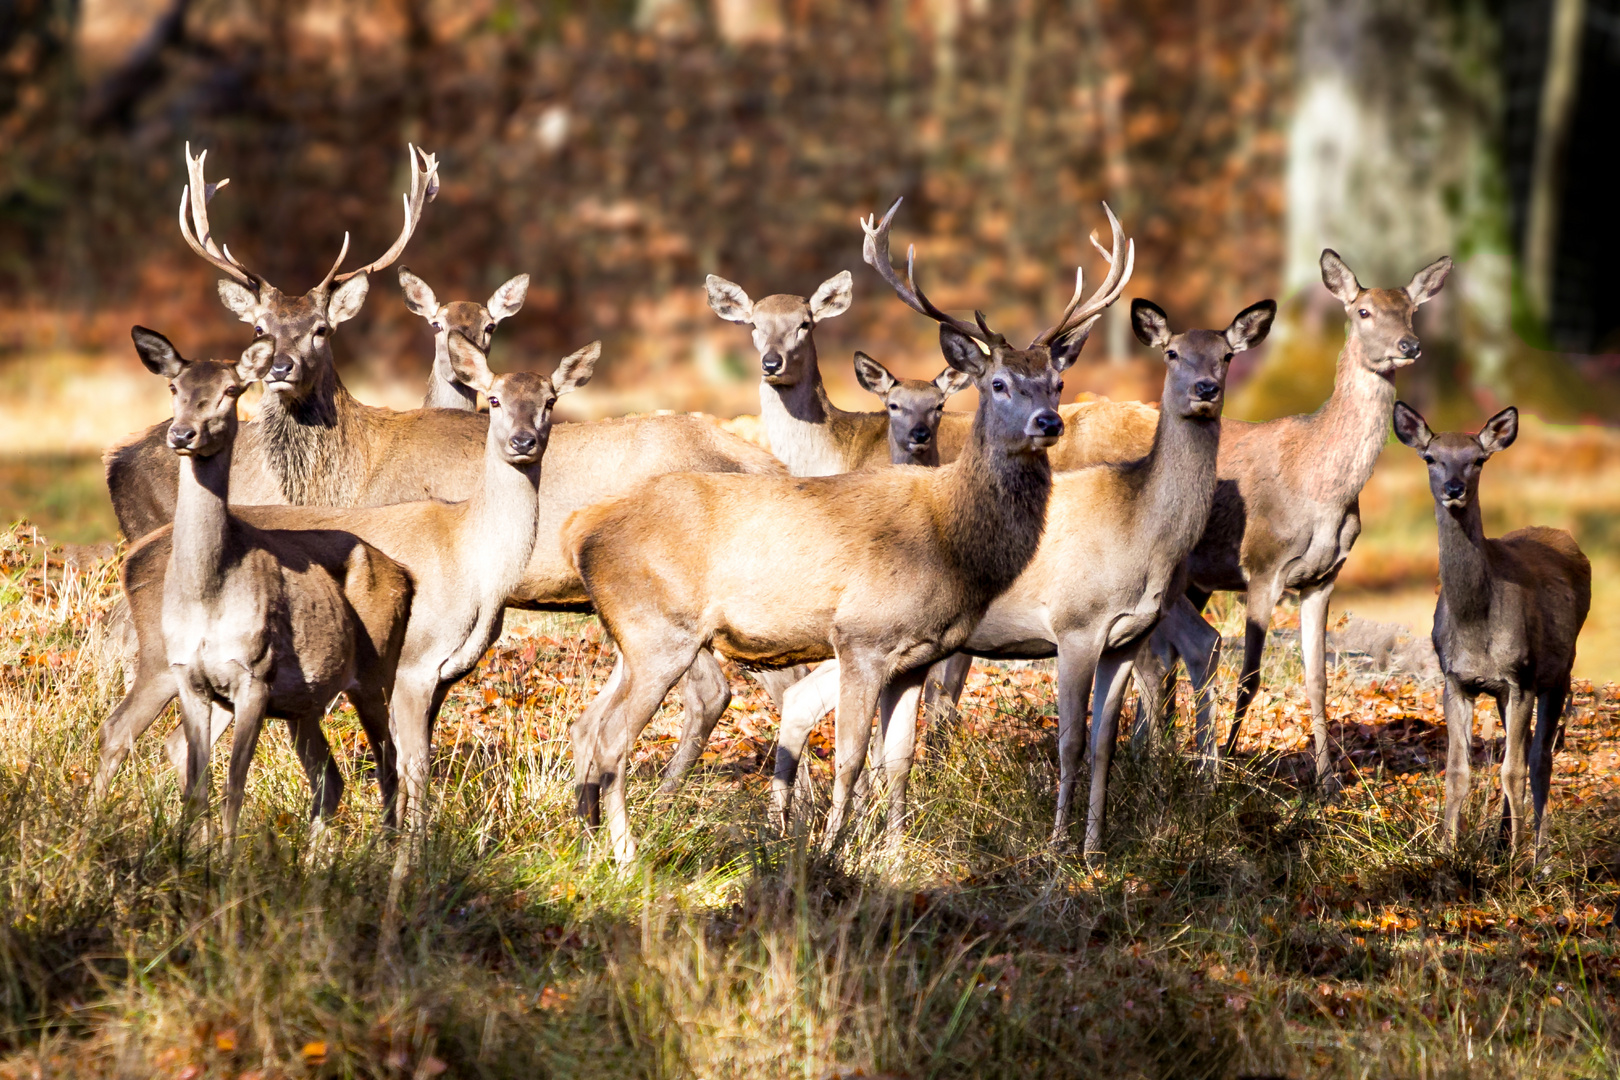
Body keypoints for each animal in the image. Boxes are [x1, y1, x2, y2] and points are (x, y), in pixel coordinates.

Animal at [130, 325, 414, 841]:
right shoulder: (191, 678)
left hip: (377, 671)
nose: (182, 433)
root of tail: (407, 575)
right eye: (174, 388)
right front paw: (188, 852)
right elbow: (197, 787)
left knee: (390, 768)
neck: (209, 596)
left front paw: (224, 857)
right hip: (305, 702)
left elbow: (234, 786)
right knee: (331, 779)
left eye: (230, 391)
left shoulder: (255, 675)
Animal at [576, 202, 1134, 861]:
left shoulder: (919, 654)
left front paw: (892, 853)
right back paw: (627, 856)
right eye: (998, 384)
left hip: (632, 638)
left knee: (592, 726)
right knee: (612, 737)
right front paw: (829, 850)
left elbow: (899, 760)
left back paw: (591, 841)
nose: (1049, 422)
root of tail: (586, 538)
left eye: (1057, 384)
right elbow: (848, 757)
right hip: (659, 631)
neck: (949, 541)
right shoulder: (860, 636)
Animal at [1153, 249, 1458, 780]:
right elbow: (1250, 676)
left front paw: (1327, 781)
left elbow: (1318, 680)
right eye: (1363, 311)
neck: (1322, 491)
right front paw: (1233, 760)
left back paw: (1169, 743)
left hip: (1197, 579)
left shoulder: (1323, 578)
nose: (1410, 344)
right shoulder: (1262, 566)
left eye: (1411, 310)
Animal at [1386, 401, 1587, 854]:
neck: (1477, 627)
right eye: (1430, 457)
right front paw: (1446, 850)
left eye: (1478, 460)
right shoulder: (1456, 680)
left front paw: (1517, 861)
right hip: (1505, 691)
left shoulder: (1520, 676)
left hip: (1558, 672)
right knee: (1524, 751)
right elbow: (1457, 772)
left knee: (1539, 759)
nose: (1454, 488)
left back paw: (1537, 852)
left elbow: (1513, 769)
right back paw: (1502, 840)